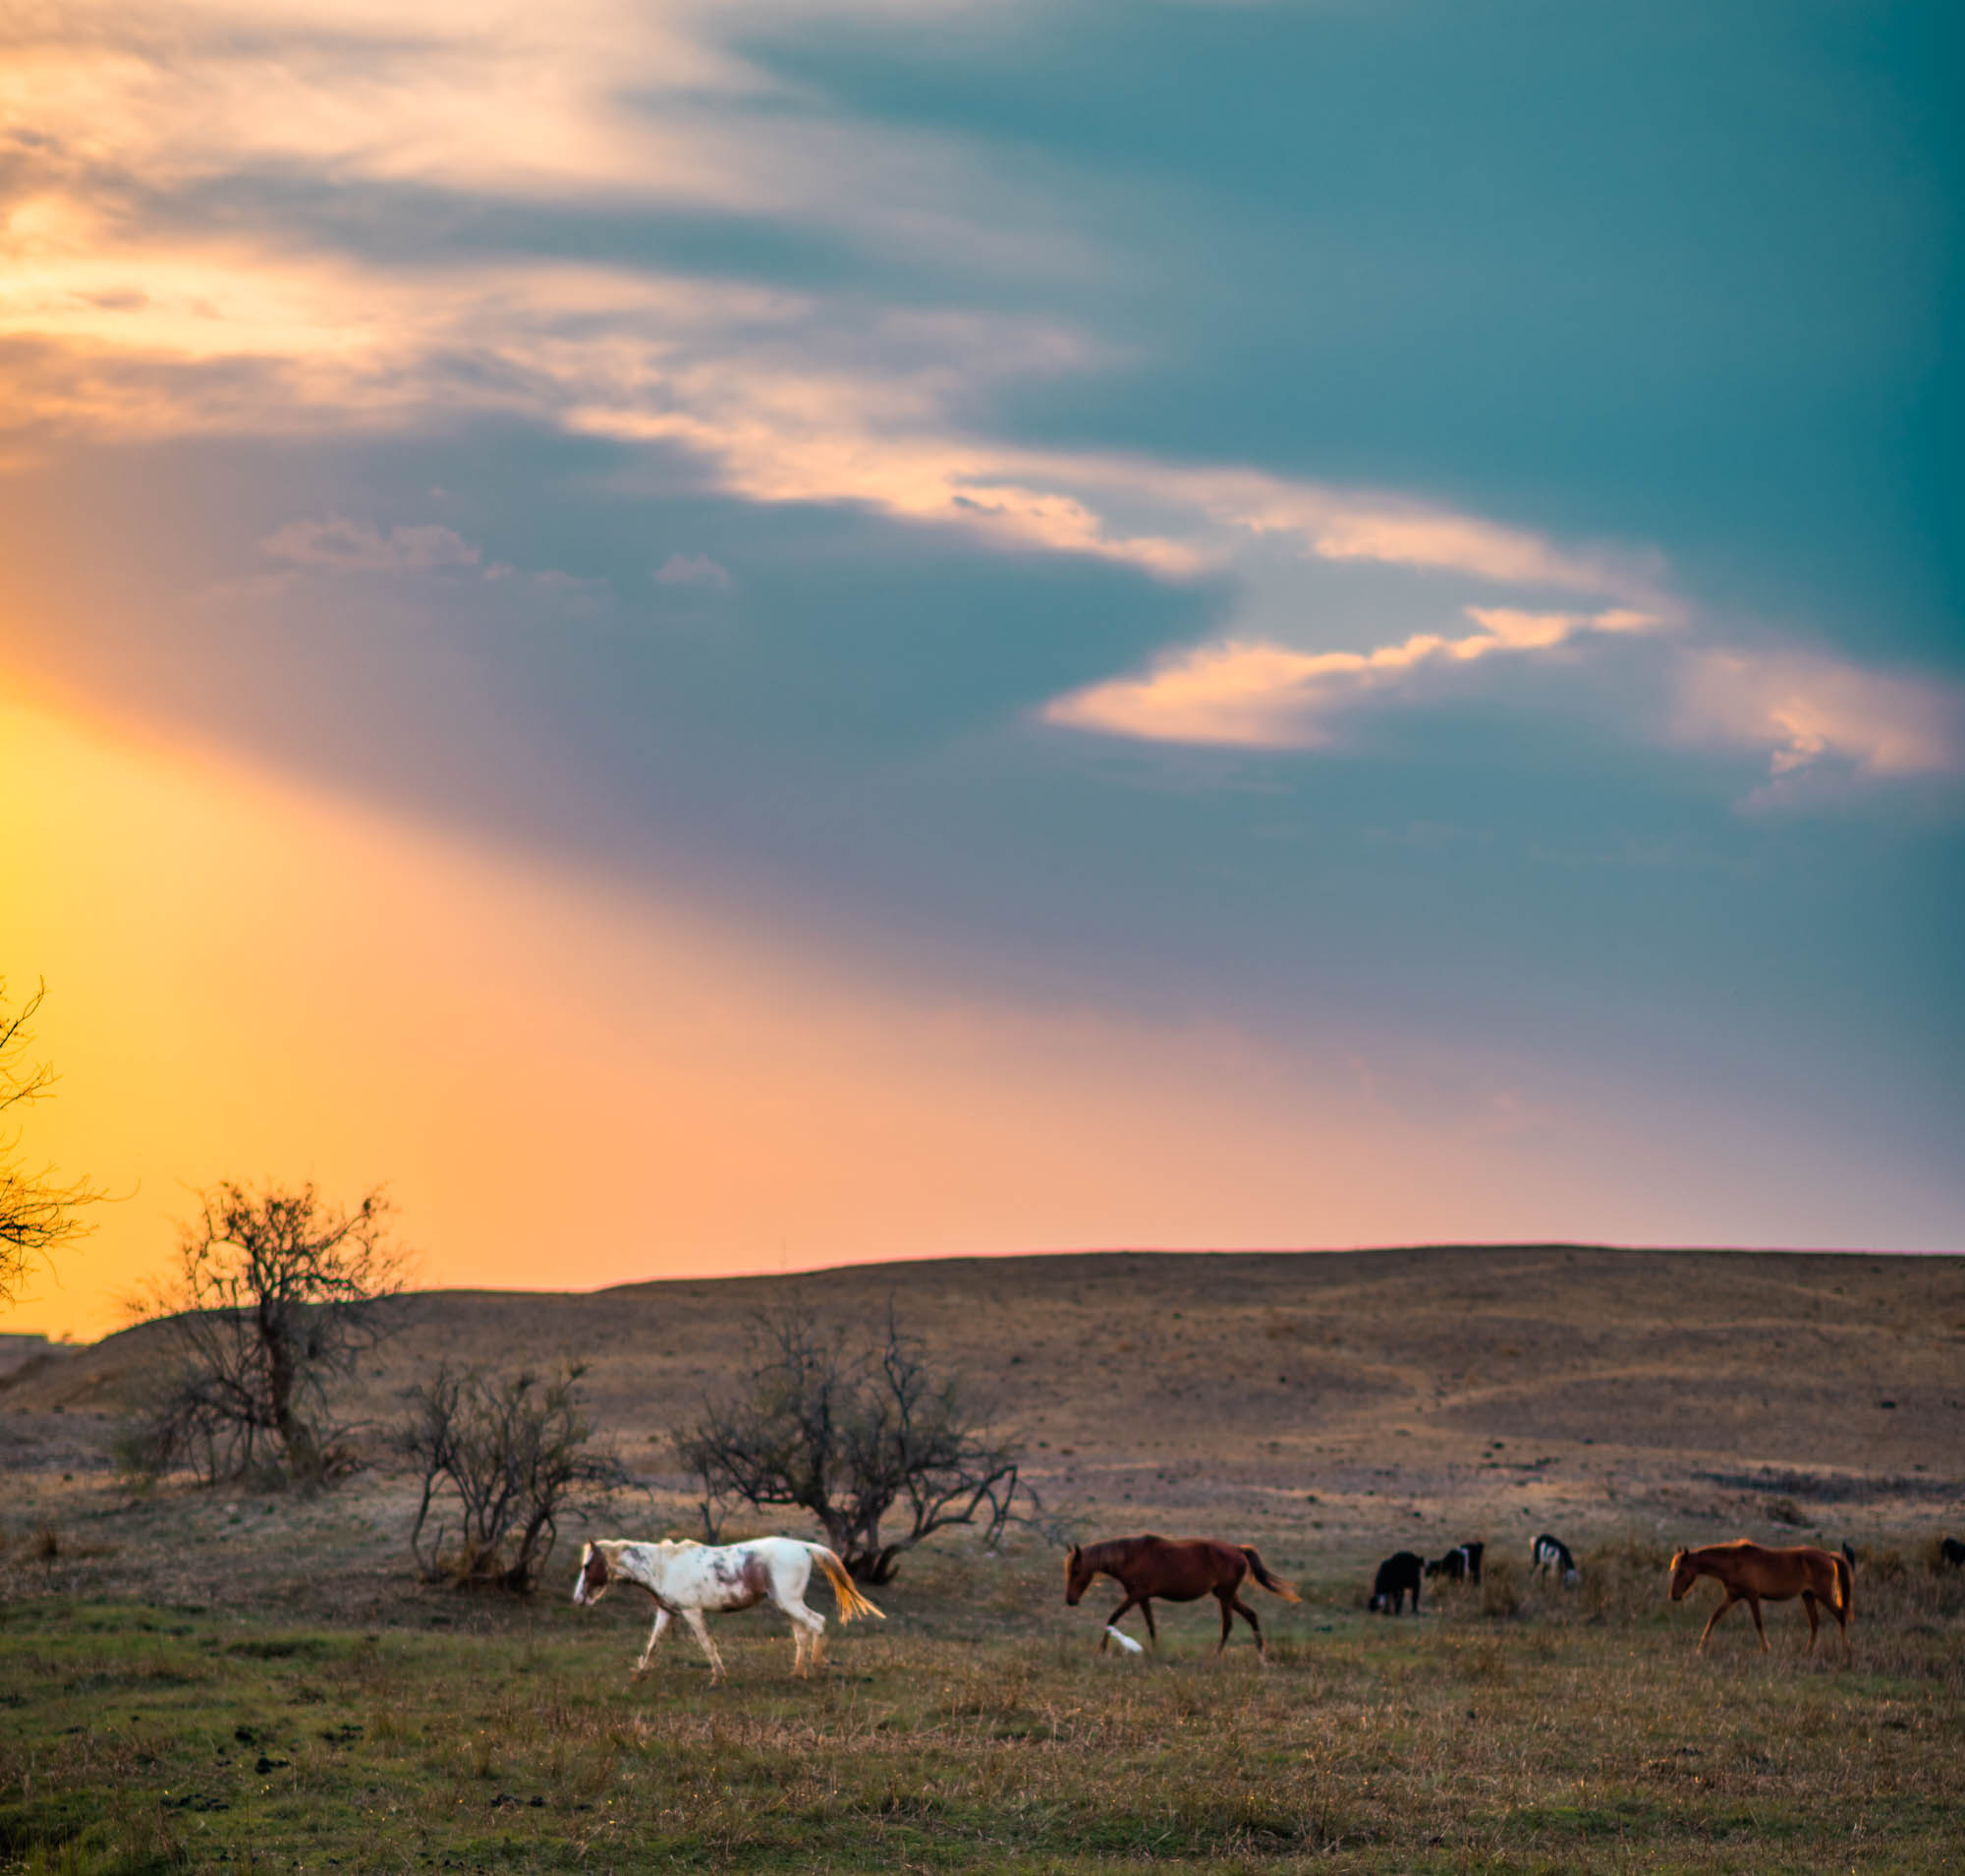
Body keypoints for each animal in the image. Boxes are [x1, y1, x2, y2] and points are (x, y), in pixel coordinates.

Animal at [566, 1533, 880, 1682]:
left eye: (587, 1566)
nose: (578, 1598)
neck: (663, 1566)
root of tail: (804, 1547)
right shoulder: (667, 1612)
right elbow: (654, 1644)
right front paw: (640, 1674)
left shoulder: (692, 1612)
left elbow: (707, 1643)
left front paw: (718, 1676)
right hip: (785, 1604)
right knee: (802, 1633)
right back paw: (796, 1673)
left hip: (790, 1602)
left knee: (817, 1623)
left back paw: (815, 1669)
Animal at [1069, 1533, 1297, 1651]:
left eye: (1076, 1571)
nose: (1070, 1600)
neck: (1131, 1556)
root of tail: (1238, 1549)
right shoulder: (1142, 1597)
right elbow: (1151, 1625)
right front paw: (1155, 1650)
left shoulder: (1135, 1595)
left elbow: (1113, 1617)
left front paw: (1102, 1648)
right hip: (1226, 1595)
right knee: (1251, 1615)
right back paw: (1260, 1653)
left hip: (1225, 1596)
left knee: (1228, 1624)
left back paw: (1216, 1656)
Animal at [1666, 1533, 1847, 1651]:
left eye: (1681, 1571)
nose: (1674, 1595)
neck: (1734, 1563)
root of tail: (1828, 1555)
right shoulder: (1732, 1596)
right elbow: (1714, 1616)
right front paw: (1701, 1646)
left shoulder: (1752, 1596)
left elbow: (1758, 1622)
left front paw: (1766, 1648)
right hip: (1808, 1595)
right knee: (1815, 1622)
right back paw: (1808, 1652)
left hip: (1823, 1594)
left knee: (1840, 1615)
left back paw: (1845, 1651)